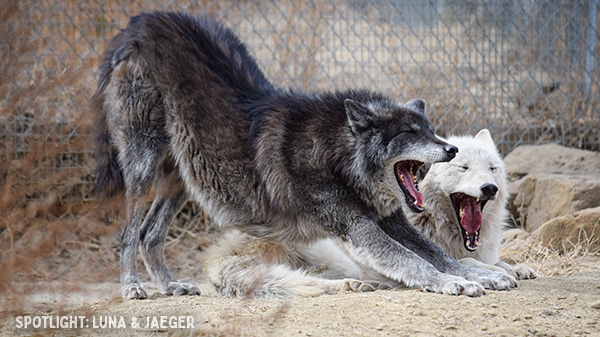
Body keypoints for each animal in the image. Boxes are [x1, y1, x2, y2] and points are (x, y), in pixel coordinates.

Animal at [92, 11, 516, 298]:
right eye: (409, 133)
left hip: (181, 178)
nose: (451, 148)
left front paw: (483, 274)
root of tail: (141, 23)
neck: (339, 156)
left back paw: (169, 286)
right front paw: (452, 283)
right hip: (144, 166)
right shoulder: (361, 229)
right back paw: (132, 288)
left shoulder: (391, 220)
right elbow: (415, 261)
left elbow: (438, 253)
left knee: (148, 234)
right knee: (129, 233)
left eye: (429, 129)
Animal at [410, 130, 536, 280]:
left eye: (492, 168)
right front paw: (496, 272)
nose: (490, 188)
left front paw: (516, 269)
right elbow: (466, 260)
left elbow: (499, 261)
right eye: (464, 167)